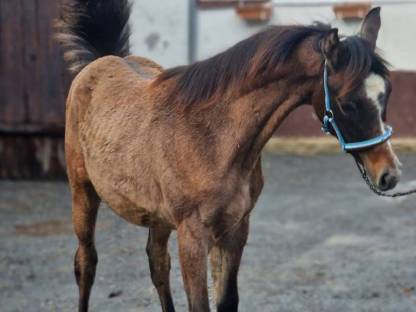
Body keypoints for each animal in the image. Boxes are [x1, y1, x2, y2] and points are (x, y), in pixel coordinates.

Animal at [57, 1, 402, 310]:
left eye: (387, 93)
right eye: (347, 103)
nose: (390, 174)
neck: (215, 137)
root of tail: (101, 61)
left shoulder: (236, 229)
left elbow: (226, 300)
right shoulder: (192, 236)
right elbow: (199, 304)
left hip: (158, 216)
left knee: (157, 264)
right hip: (83, 193)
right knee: (85, 263)